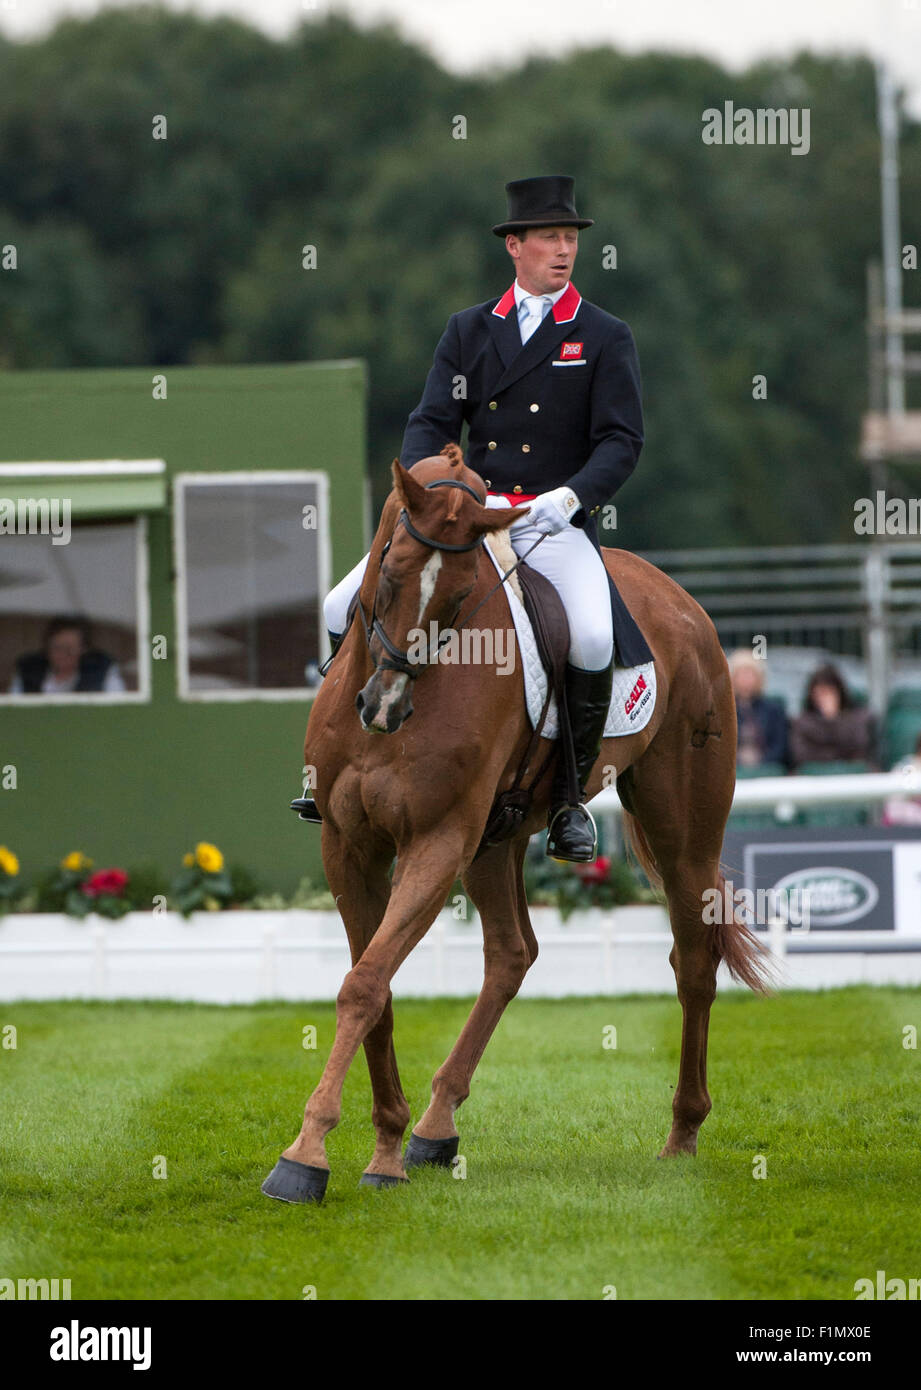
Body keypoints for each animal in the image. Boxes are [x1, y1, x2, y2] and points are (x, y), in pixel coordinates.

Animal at [261, 447, 772, 1206]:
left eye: (459, 596)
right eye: (389, 570)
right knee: (511, 953)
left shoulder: (437, 841)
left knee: (693, 962)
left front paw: (306, 1155)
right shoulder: (347, 845)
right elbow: (374, 984)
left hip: (681, 832)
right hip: (496, 840)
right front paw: (384, 1145)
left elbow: (363, 984)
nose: (383, 708)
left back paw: (682, 1132)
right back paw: (435, 1128)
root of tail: (679, 601)